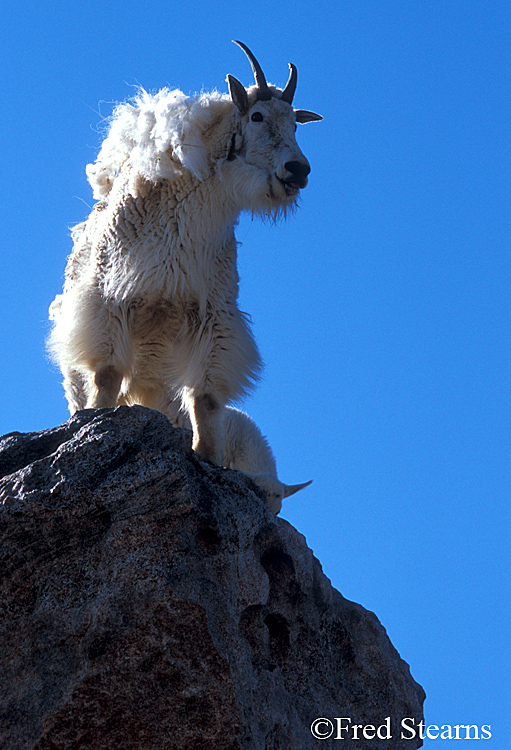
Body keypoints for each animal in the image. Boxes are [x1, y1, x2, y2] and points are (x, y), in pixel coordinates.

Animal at [48, 42, 320, 512]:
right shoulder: (111, 301)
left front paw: (206, 457)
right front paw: (99, 420)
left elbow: (207, 396)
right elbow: (106, 373)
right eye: (256, 116)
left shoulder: (212, 313)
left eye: (295, 124)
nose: (297, 170)